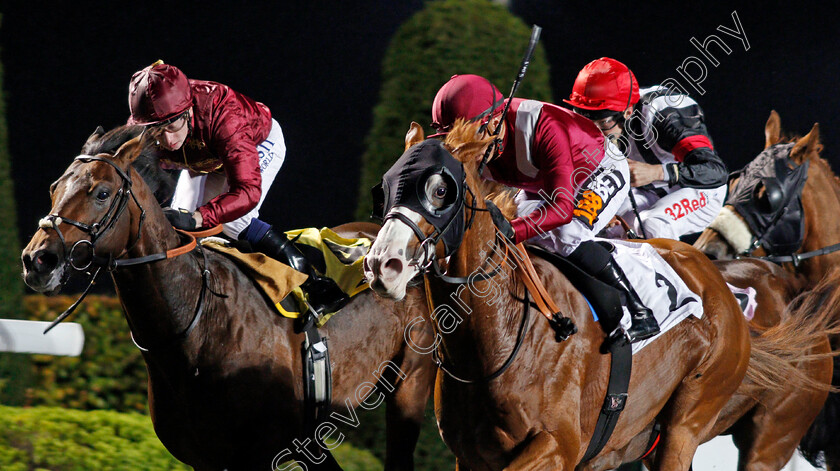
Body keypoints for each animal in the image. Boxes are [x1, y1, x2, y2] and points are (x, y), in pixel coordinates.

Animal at [20, 130, 436, 471]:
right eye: (55, 188)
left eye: (101, 192)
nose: (37, 260)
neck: (199, 325)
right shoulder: (205, 458)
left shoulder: (262, 454)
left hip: (410, 382)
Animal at [360, 121, 760, 468]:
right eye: (384, 189)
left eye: (440, 191)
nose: (382, 264)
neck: (503, 333)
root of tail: (719, 283)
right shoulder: (472, 457)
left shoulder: (558, 445)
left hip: (686, 422)